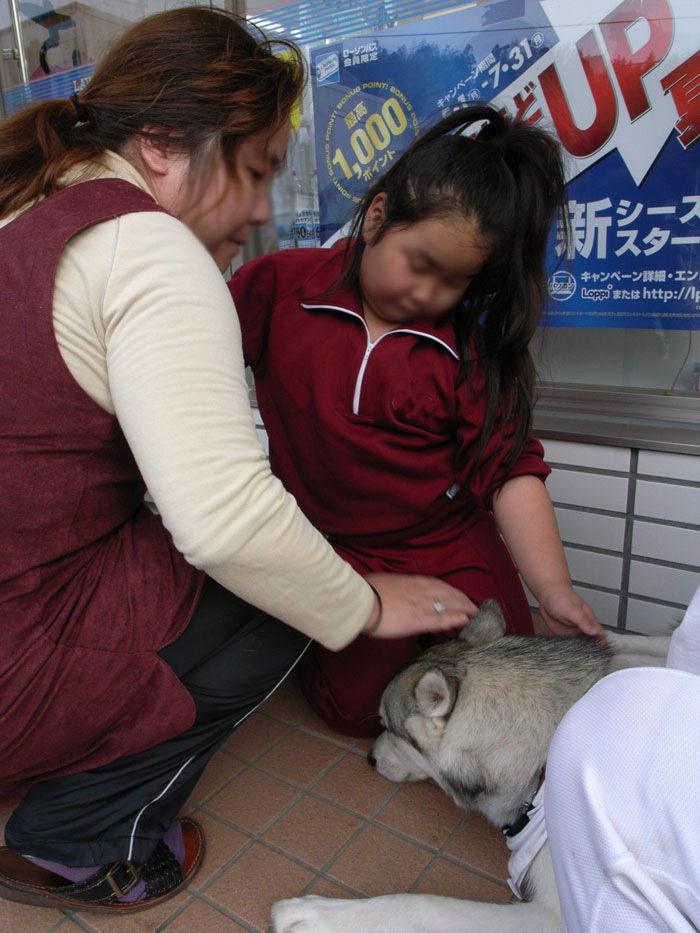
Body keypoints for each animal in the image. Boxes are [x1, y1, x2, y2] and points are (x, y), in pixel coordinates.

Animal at [270, 600, 672, 928]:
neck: (546, 752)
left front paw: (313, 914)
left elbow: (421, 904)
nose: (369, 758)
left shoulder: (560, 914)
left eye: (388, 727)